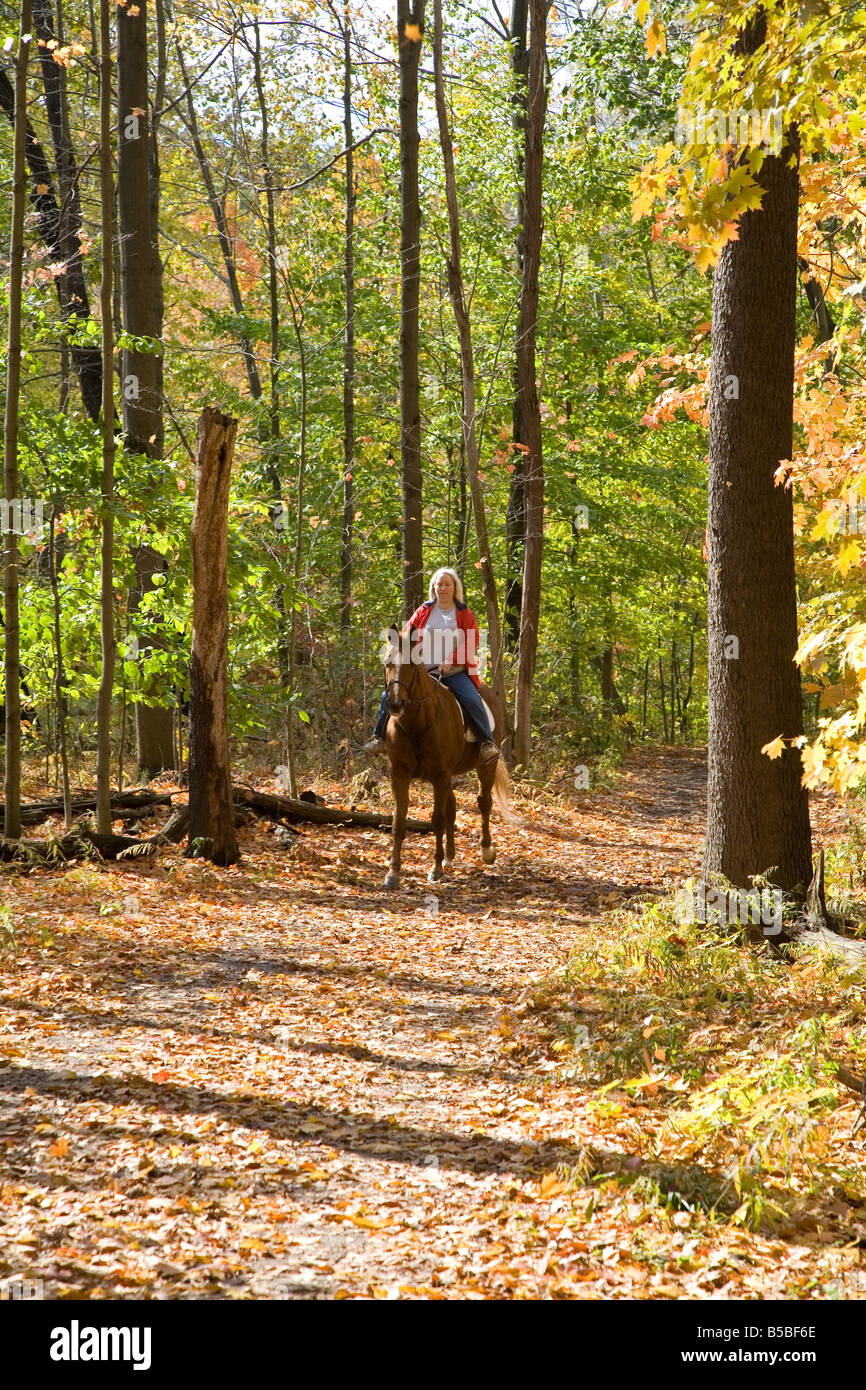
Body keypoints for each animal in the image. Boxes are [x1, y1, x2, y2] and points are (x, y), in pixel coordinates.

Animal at [380, 631, 514, 889]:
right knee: (453, 807)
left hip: (486, 765)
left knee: (484, 802)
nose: (395, 704)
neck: (417, 723)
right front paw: (393, 873)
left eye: (412, 666)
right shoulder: (400, 774)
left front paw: (435, 869)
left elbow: (437, 819)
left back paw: (486, 851)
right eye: (388, 662)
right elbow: (399, 821)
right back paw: (450, 857)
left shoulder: (440, 775)